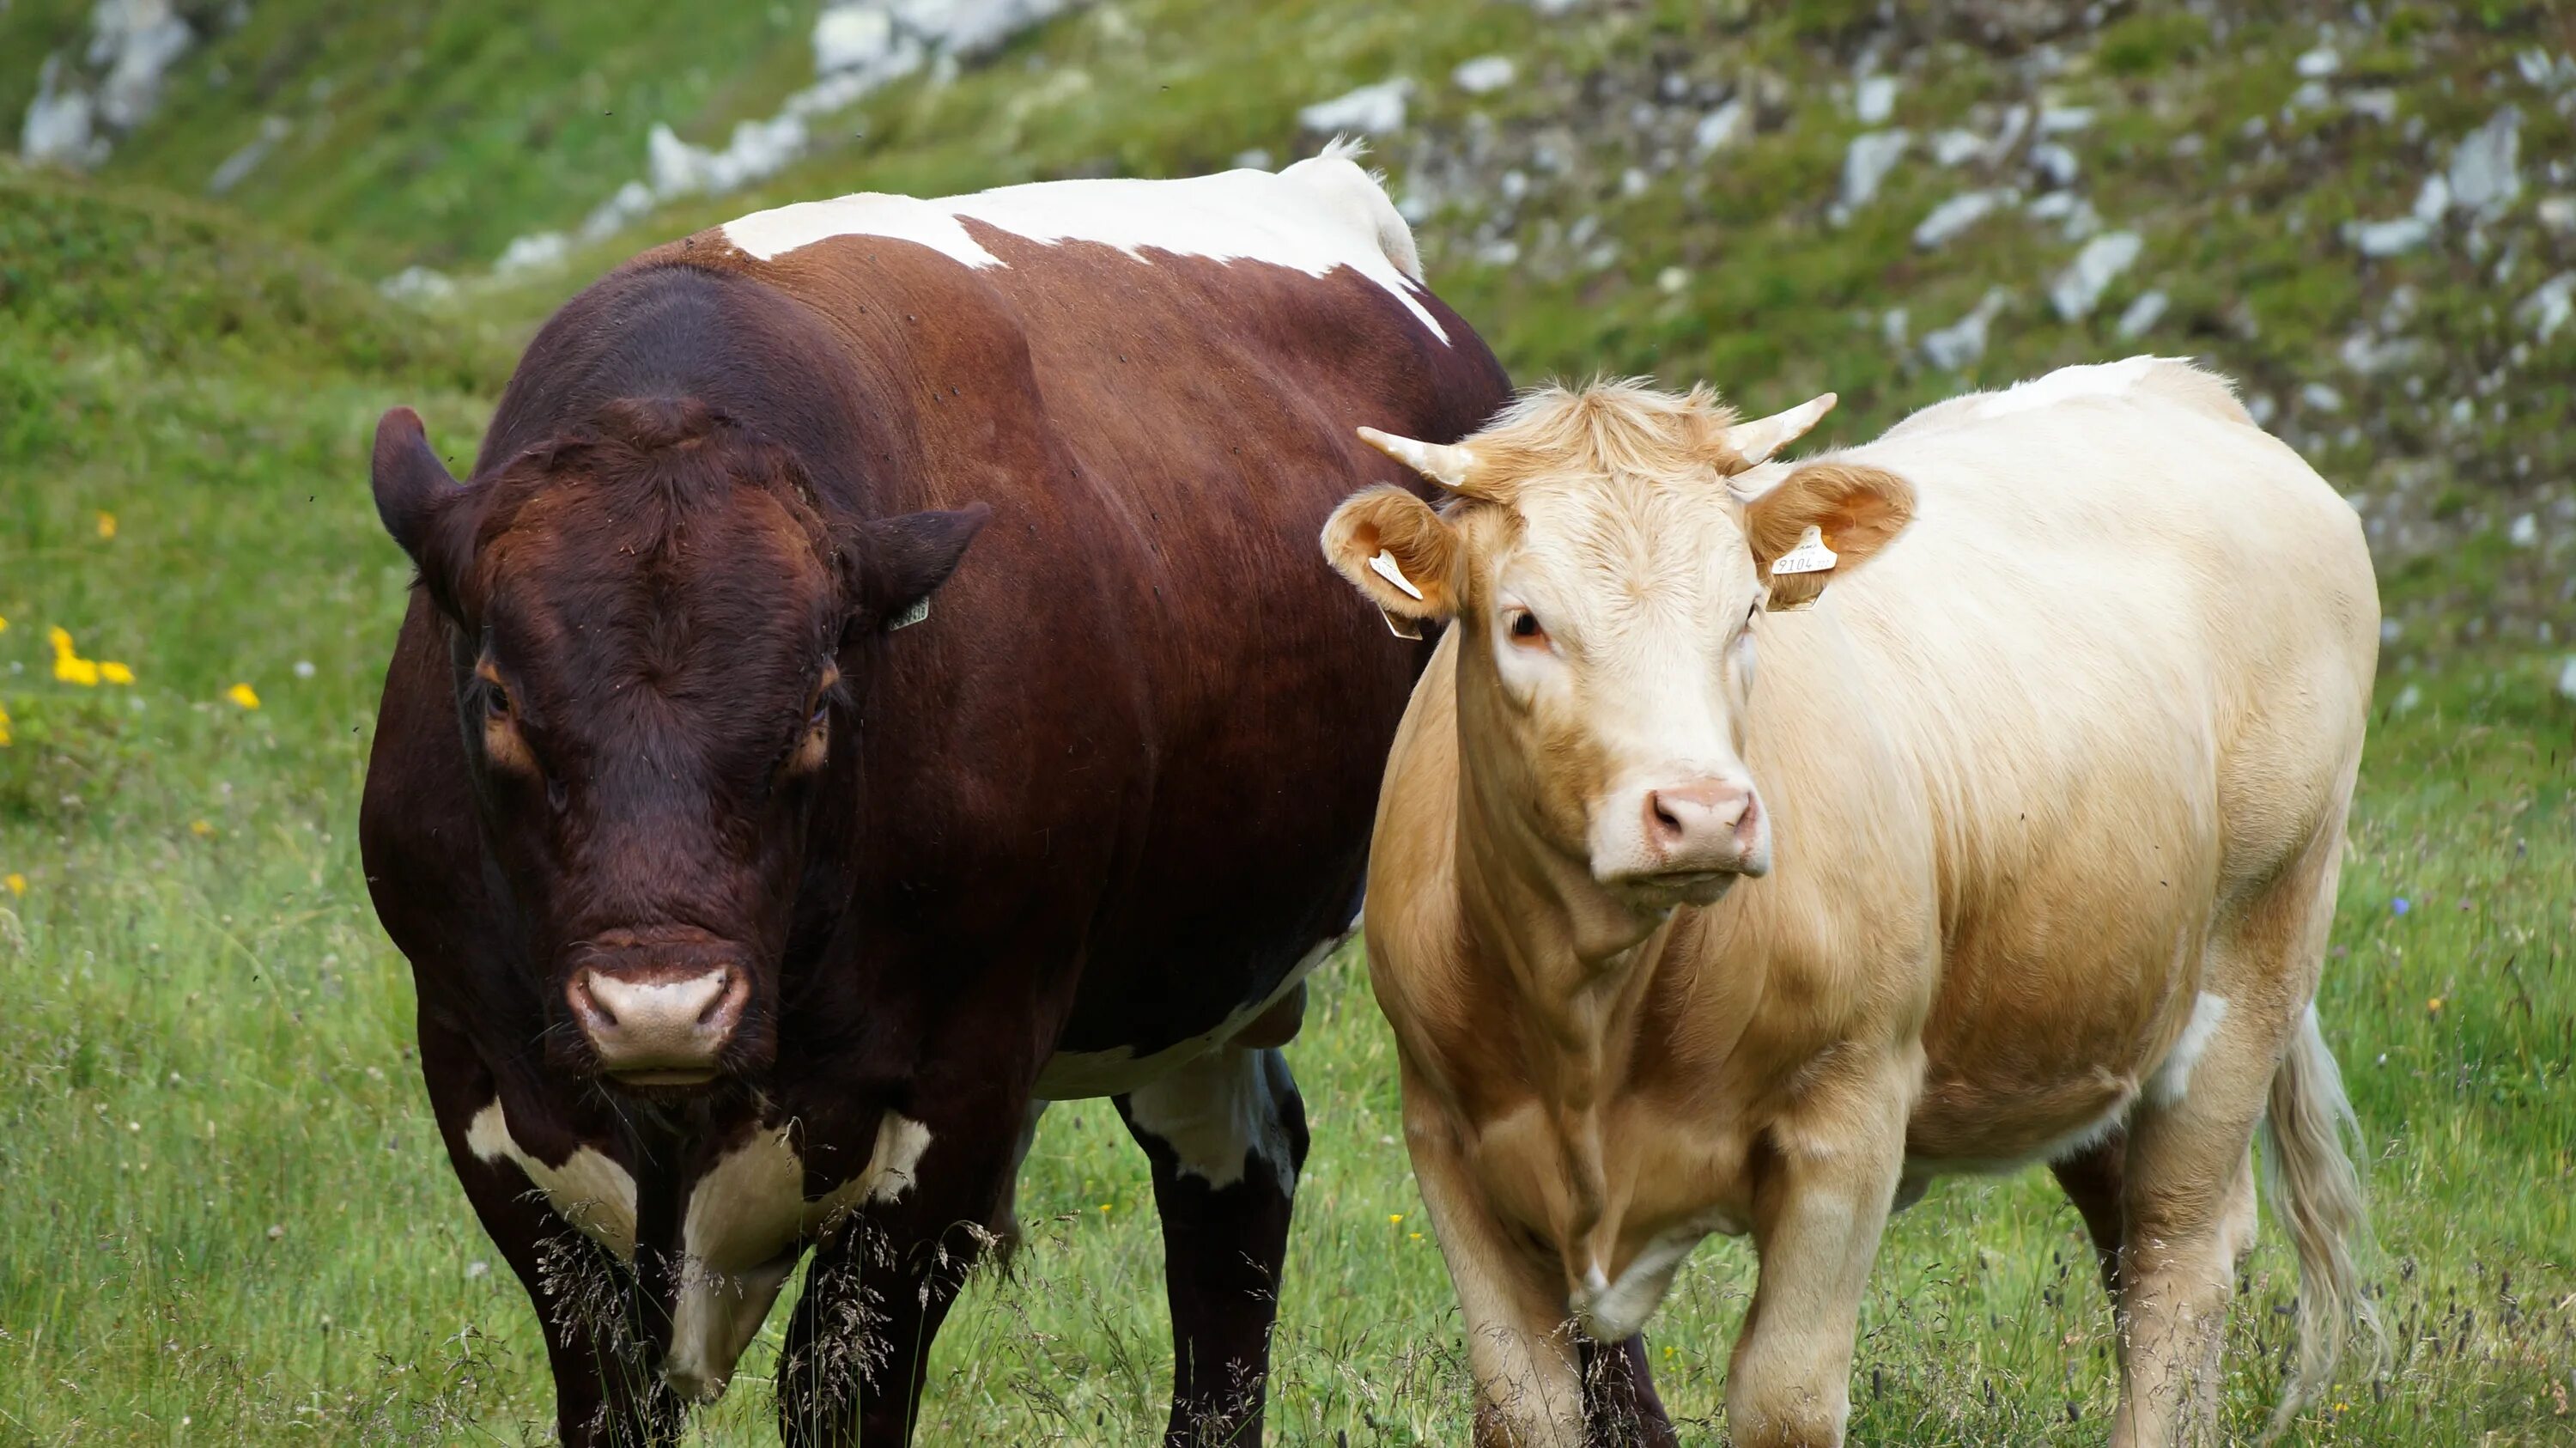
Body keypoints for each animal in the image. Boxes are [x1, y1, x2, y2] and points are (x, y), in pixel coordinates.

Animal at [353, 141, 1504, 1433]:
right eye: (497, 695)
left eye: (818, 701)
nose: (659, 1004)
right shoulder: (478, 1070)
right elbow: (611, 1386)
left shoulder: (964, 1085)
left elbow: (839, 1380)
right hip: (1193, 969)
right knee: (1237, 1177)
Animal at [1329, 363, 2370, 1443]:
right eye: (1525, 620)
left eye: (1747, 613)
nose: (1704, 813)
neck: (1593, 1016)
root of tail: (2184, 389)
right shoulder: (1445, 1141)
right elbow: (1520, 1401)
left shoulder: (1851, 1117)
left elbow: (1784, 1394)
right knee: (2135, 1246)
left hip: (2255, 965)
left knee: (2178, 1257)